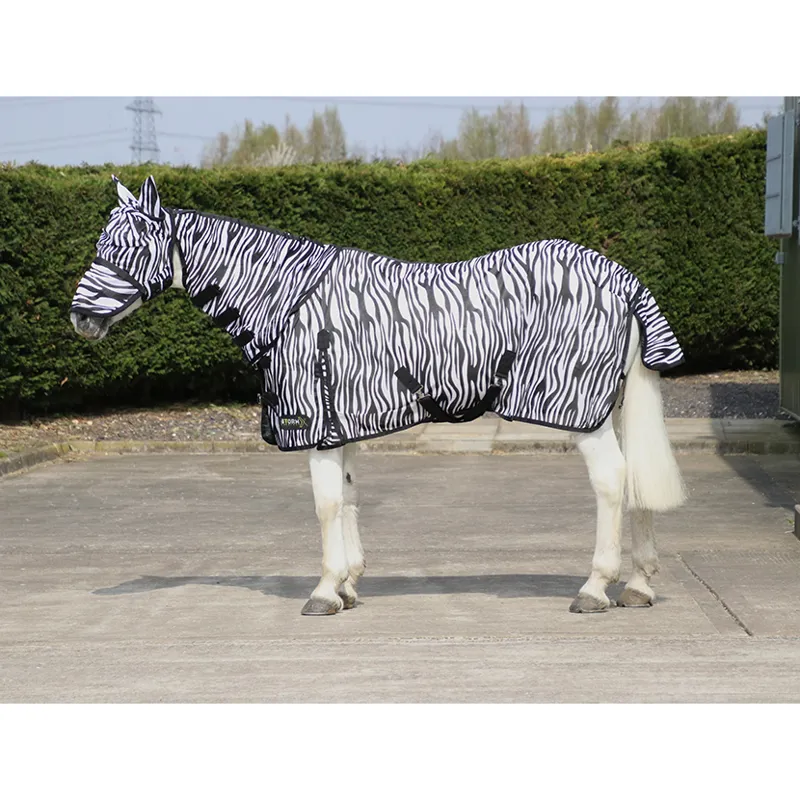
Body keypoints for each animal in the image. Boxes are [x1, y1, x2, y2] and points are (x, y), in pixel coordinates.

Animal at [71, 175, 686, 616]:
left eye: (126, 248)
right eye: (100, 243)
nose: (79, 319)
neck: (288, 300)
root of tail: (620, 276)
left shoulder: (314, 424)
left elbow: (325, 505)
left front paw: (323, 592)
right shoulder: (340, 423)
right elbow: (348, 498)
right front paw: (347, 587)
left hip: (583, 414)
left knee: (611, 480)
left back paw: (595, 588)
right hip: (616, 404)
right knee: (635, 481)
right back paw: (637, 587)